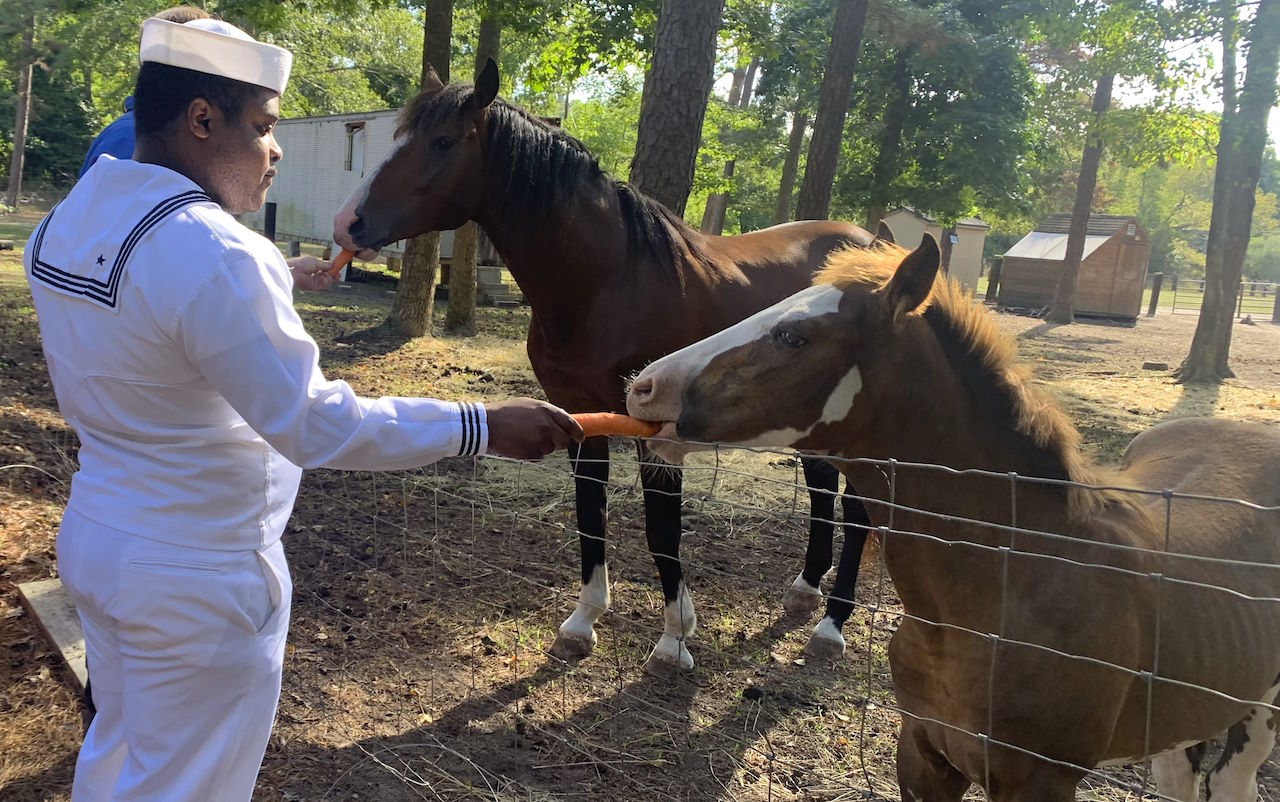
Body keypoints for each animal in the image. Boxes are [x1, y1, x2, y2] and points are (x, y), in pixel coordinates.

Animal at [332, 61, 880, 670]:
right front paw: (583, 622)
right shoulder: (580, 416)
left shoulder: (653, 431)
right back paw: (805, 591)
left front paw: (674, 639)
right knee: (822, 494)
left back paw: (831, 627)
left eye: (444, 141)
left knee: (856, 511)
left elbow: (661, 530)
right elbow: (589, 515)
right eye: (399, 136)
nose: (347, 223)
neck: (609, 280)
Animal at [627, 236, 1280, 802]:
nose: (643, 386)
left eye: (793, 336)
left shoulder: (1038, 782)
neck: (1009, 585)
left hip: (1258, 716)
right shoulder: (924, 753)